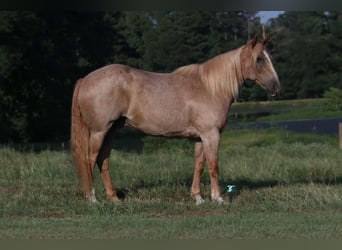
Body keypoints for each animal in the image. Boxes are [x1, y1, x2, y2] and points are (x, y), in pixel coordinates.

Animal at [71, 34, 280, 204]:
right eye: (259, 59)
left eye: (270, 57)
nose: (275, 87)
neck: (210, 88)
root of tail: (84, 79)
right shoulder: (211, 135)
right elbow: (213, 165)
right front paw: (217, 198)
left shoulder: (200, 137)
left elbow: (199, 165)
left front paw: (198, 197)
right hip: (99, 131)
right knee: (90, 159)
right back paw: (92, 199)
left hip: (111, 131)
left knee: (103, 160)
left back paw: (114, 199)